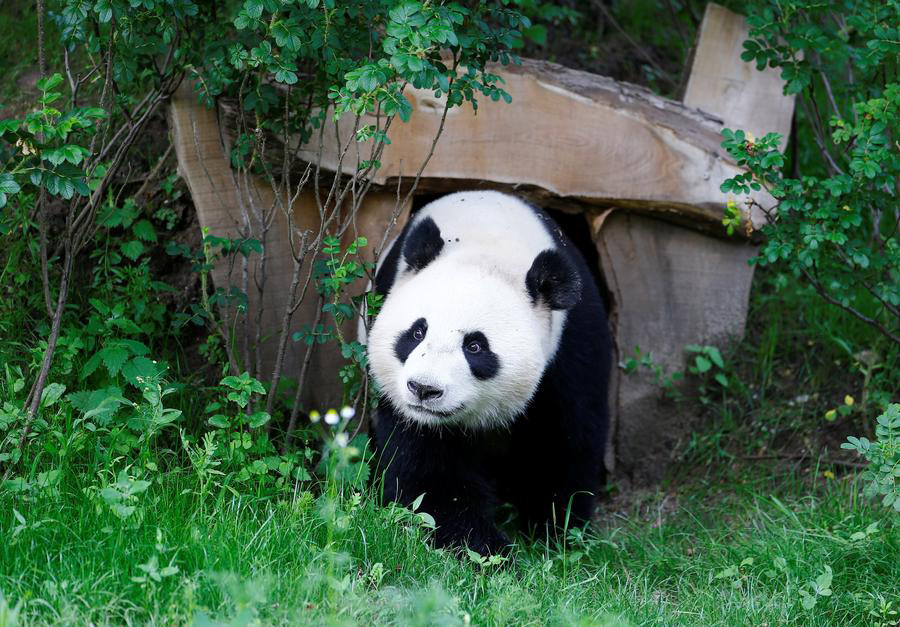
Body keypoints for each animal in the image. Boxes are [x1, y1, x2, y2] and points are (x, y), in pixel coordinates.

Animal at [366, 190, 612, 556]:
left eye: (475, 346)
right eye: (417, 332)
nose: (424, 389)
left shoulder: (572, 343)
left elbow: (565, 441)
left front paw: (558, 533)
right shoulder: (406, 405)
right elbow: (429, 468)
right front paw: (487, 548)